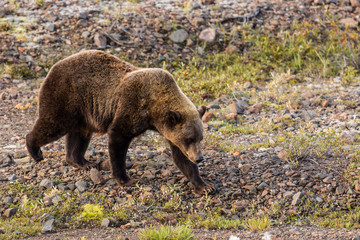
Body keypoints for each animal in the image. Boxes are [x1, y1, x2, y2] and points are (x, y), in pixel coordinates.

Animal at [27, 49, 217, 194]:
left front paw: (205, 185)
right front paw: (126, 179)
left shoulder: (170, 130)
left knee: (80, 134)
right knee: (53, 124)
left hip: (84, 111)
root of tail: (55, 65)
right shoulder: (132, 106)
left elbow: (181, 157)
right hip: (66, 95)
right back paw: (35, 151)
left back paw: (82, 162)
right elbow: (118, 138)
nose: (199, 158)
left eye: (200, 138)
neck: (154, 110)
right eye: (189, 138)